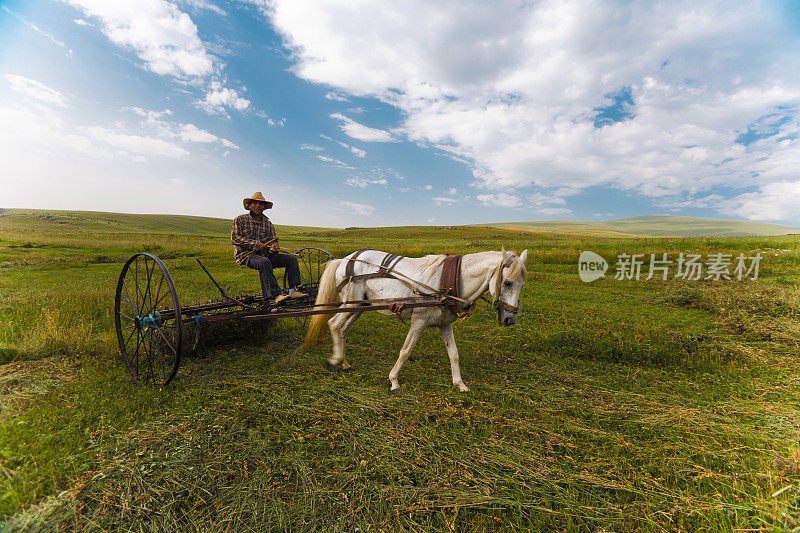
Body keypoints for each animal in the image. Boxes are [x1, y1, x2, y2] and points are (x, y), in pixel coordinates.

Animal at [304, 248, 528, 390]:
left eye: (522, 284)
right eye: (507, 283)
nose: (510, 319)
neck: (450, 281)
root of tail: (344, 259)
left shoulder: (445, 324)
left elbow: (454, 354)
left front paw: (459, 383)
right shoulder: (418, 322)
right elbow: (405, 351)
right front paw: (394, 380)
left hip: (359, 306)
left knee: (343, 329)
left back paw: (343, 362)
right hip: (351, 303)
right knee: (334, 324)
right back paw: (335, 359)